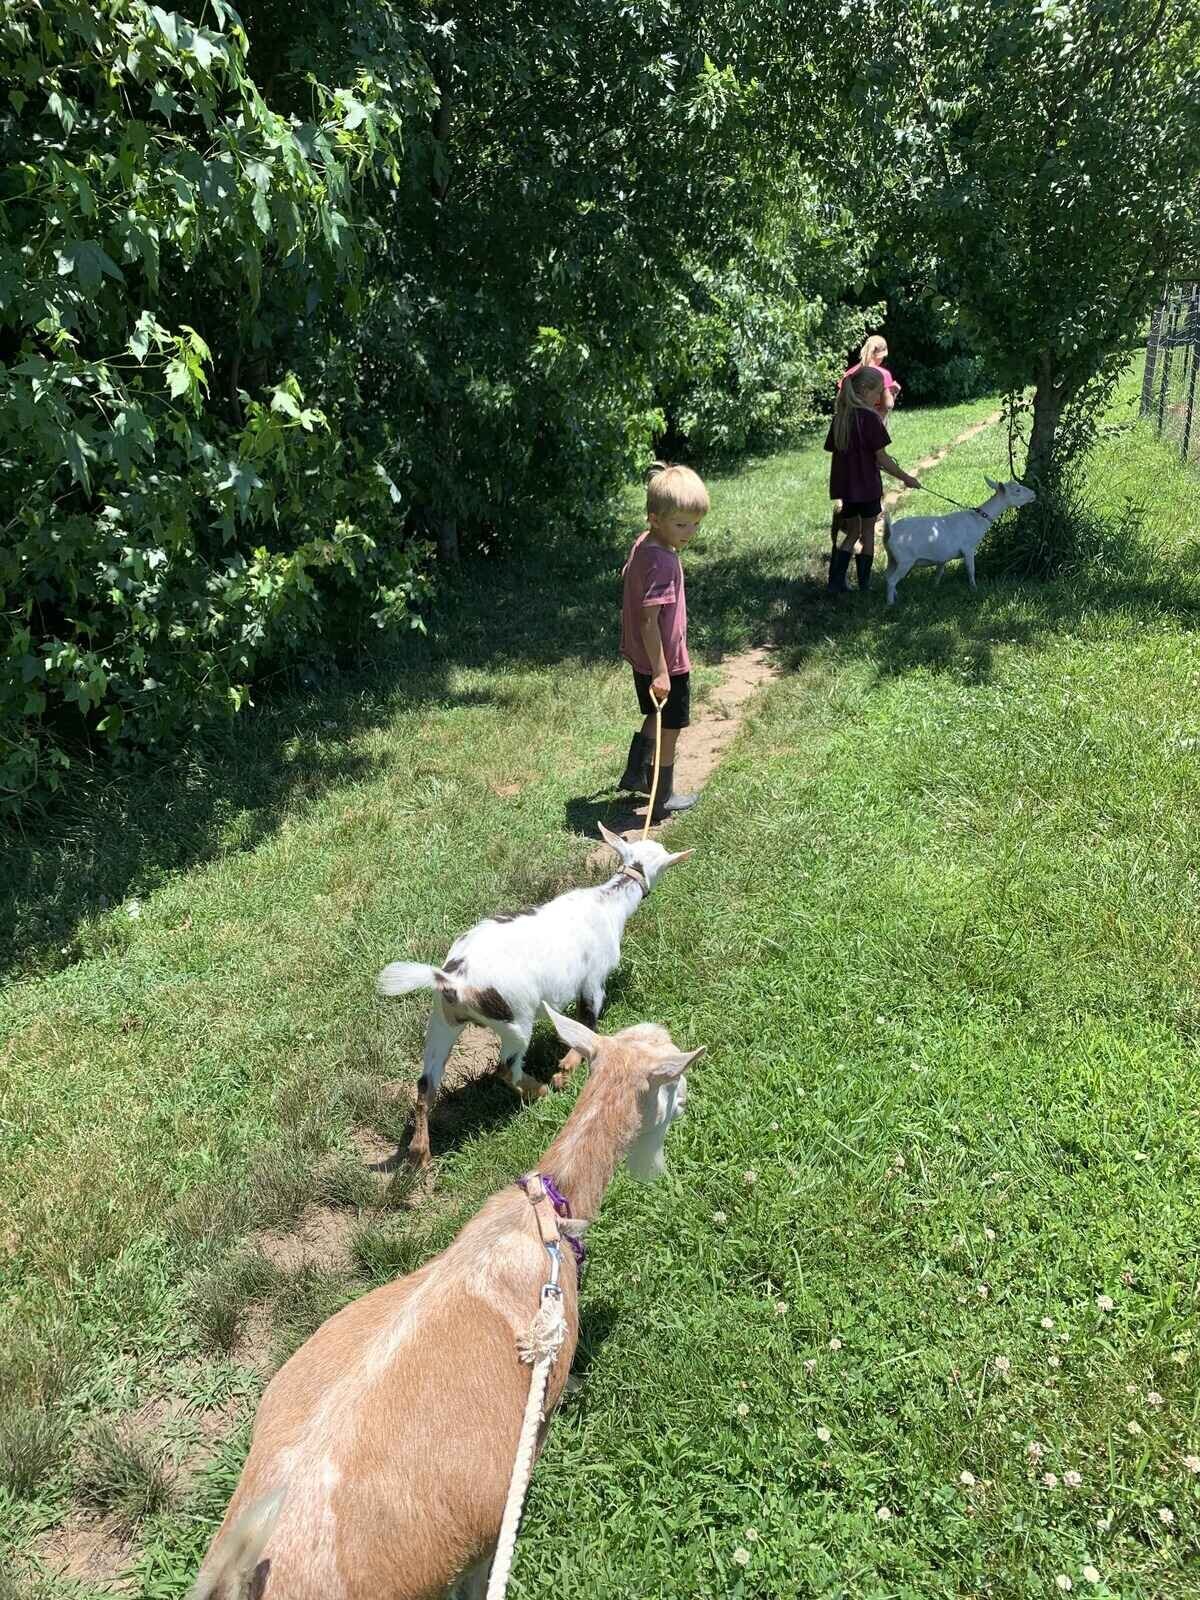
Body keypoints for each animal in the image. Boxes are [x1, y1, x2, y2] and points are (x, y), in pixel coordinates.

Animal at [380, 825, 691, 1164]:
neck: (607, 902)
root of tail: (454, 980)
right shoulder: (593, 981)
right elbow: (587, 1022)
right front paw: (566, 1070)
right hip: (515, 1021)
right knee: (507, 1068)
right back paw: (540, 1091)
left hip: (442, 1021)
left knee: (426, 1084)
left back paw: (420, 1153)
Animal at [883, 473, 1043, 604]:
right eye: (1017, 491)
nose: (1034, 493)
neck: (978, 520)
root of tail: (890, 531)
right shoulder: (968, 548)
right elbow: (971, 569)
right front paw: (974, 588)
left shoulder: (943, 556)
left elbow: (939, 572)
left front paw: (935, 587)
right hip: (905, 559)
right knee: (891, 580)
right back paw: (891, 604)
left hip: (892, 558)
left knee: (887, 575)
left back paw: (896, 597)